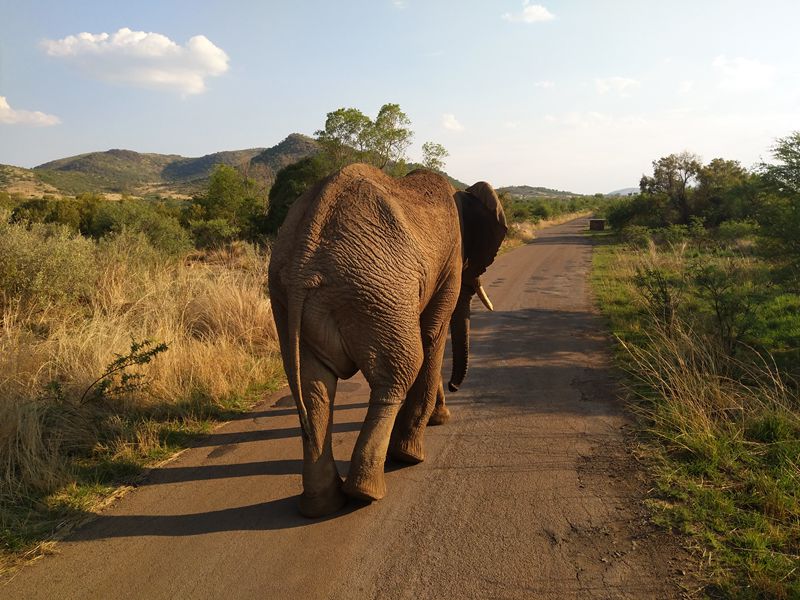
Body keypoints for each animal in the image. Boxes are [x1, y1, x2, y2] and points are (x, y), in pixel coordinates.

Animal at [268, 163, 506, 516]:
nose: (454, 387)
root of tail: (304, 262)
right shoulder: (450, 259)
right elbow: (432, 335)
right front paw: (429, 433)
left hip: (288, 300)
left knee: (314, 391)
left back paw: (321, 506)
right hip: (376, 291)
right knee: (400, 372)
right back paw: (373, 486)